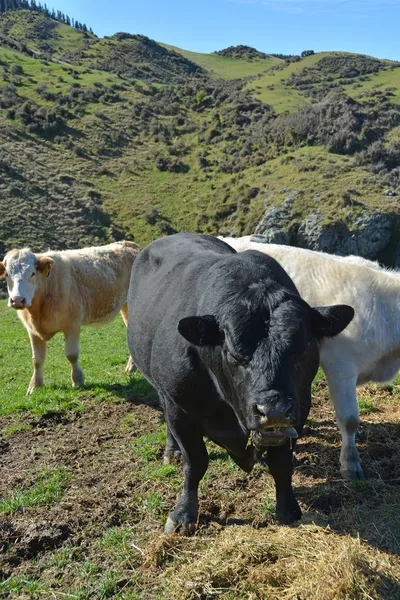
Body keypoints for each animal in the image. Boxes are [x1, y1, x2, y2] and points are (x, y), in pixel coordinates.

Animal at [0, 239, 141, 394]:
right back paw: (132, 367)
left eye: (32, 273)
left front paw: (77, 380)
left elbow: (71, 354)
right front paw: (34, 385)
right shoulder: (32, 330)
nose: (17, 300)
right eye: (7, 274)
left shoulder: (72, 324)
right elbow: (37, 359)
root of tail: (129, 244)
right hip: (126, 306)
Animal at [127, 232, 354, 532]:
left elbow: (282, 463)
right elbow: (195, 463)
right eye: (233, 353)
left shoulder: (301, 406)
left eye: (303, 348)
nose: (274, 410)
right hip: (163, 391)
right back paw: (171, 450)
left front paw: (288, 509)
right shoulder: (181, 408)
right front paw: (183, 514)